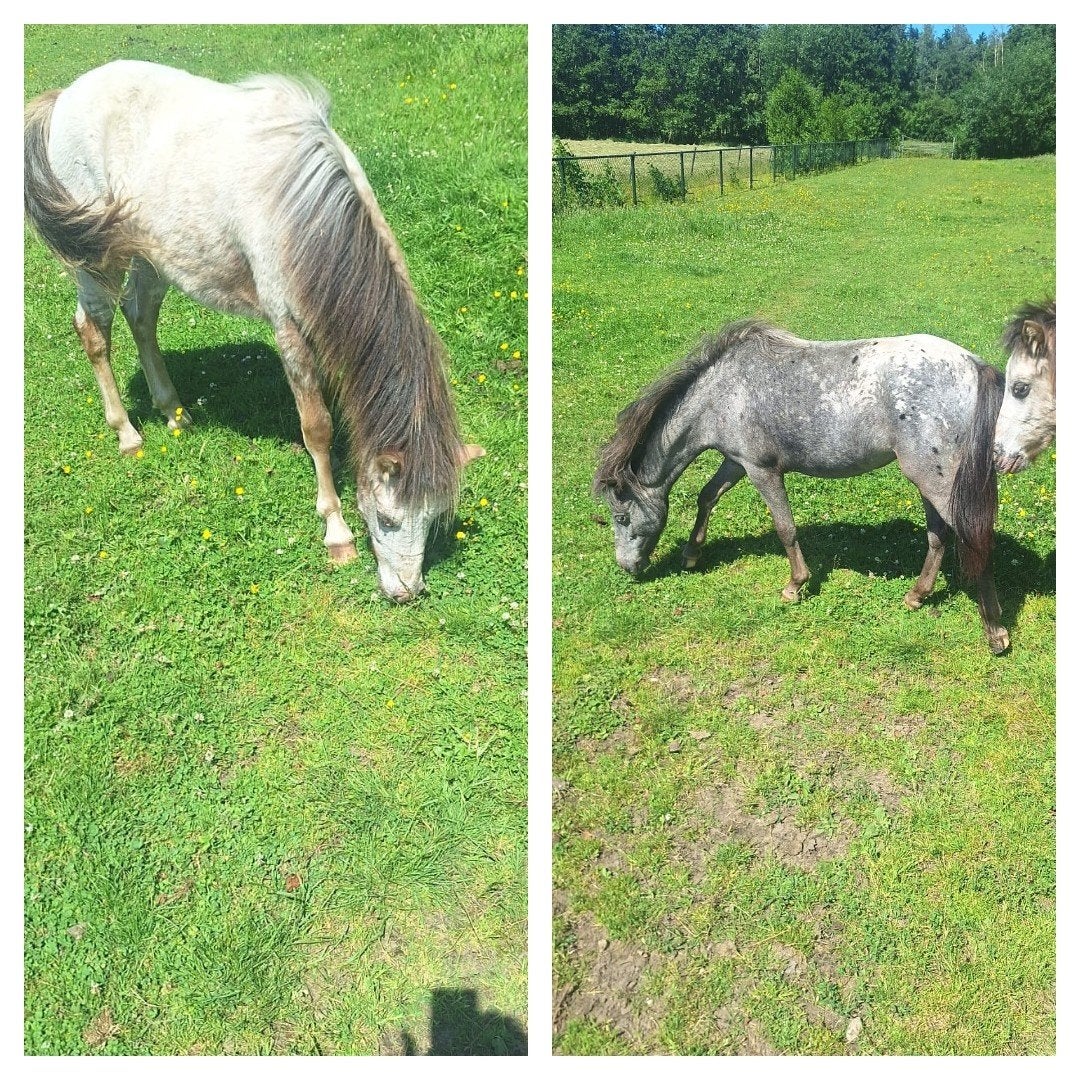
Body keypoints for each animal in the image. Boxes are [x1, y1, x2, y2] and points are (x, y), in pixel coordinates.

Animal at [24, 60, 484, 602]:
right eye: (388, 520)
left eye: (432, 520)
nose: (407, 592)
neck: (300, 209)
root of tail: (66, 96)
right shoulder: (288, 329)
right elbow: (317, 427)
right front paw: (337, 533)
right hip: (96, 254)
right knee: (94, 330)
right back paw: (127, 434)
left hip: (153, 252)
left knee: (140, 316)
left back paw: (174, 413)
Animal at [593, 318, 1010, 654]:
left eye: (621, 517)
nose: (627, 567)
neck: (723, 393)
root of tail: (973, 366)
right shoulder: (736, 462)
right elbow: (707, 496)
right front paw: (692, 554)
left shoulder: (762, 470)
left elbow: (785, 528)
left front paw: (795, 586)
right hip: (930, 479)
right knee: (938, 535)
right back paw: (917, 596)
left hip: (934, 479)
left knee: (970, 536)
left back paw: (995, 631)